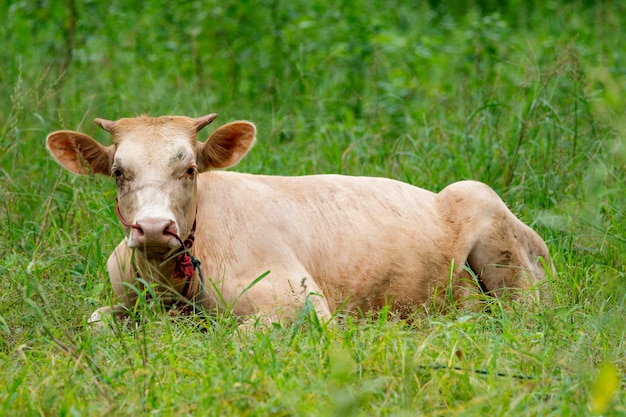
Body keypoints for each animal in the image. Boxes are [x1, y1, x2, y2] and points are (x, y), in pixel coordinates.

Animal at [45, 113, 552, 324]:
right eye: (118, 172)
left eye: (188, 169)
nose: (153, 228)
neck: (173, 283)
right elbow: (95, 320)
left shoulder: (302, 301)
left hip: (492, 223)